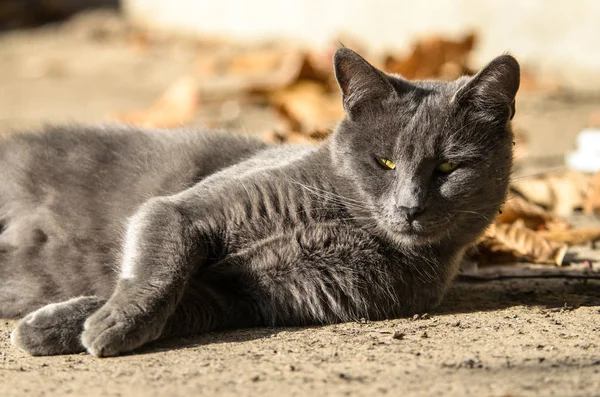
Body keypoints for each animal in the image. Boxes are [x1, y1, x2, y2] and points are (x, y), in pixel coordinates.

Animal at [1, 47, 520, 356]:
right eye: (385, 162)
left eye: (448, 167)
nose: (409, 207)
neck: (346, 221)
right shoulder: (181, 211)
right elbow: (158, 271)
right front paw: (106, 322)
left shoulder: (249, 295)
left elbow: (183, 303)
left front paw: (66, 327)